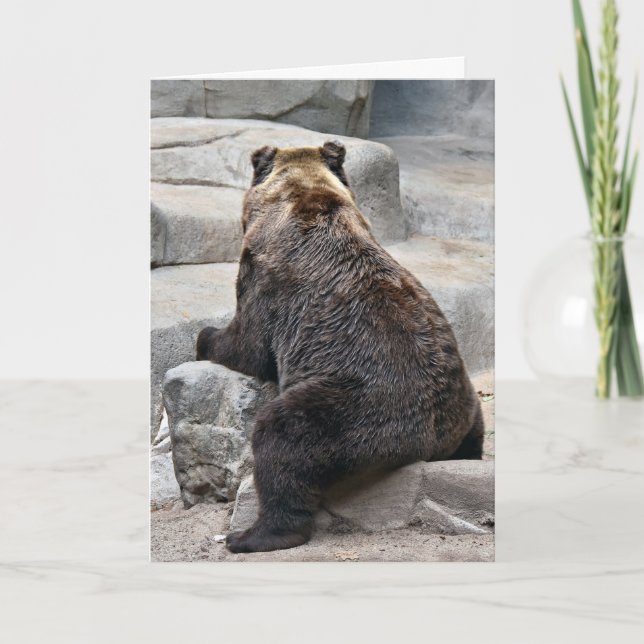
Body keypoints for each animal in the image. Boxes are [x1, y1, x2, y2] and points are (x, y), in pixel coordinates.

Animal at [196, 140, 483, 553]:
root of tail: (431, 441)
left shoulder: (266, 278)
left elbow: (249, 344)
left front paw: (205, 337)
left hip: (361, 406)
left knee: (282, 434)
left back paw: (253, 534)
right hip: (462, 398)